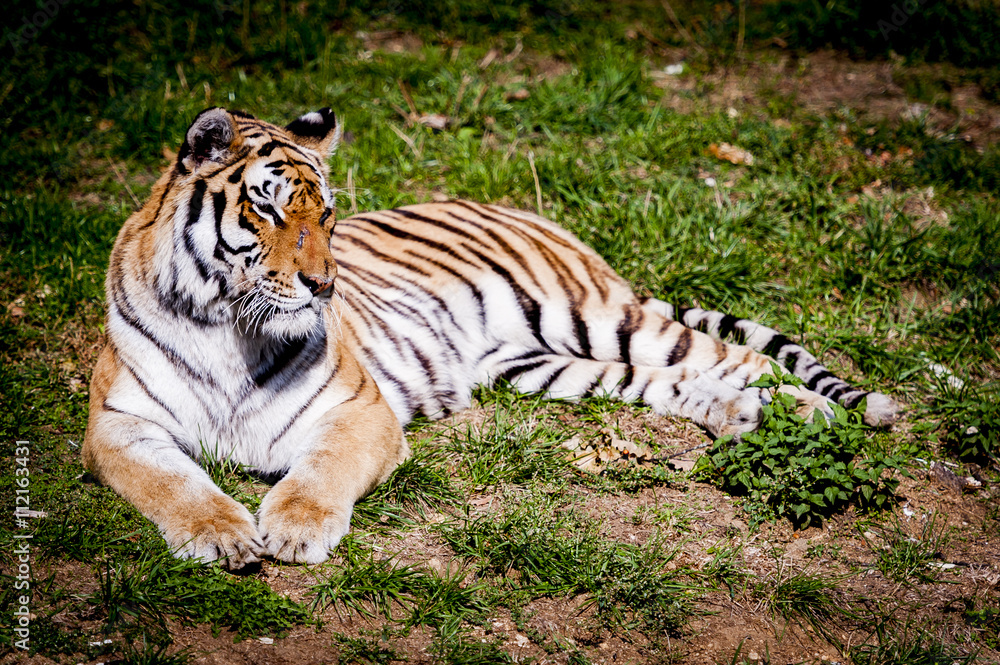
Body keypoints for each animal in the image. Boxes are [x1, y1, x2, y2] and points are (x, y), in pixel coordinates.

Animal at [86, 106, 900, 568]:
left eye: (327, 214)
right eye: (267, 209)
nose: (323, 286)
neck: (226, 322)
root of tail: (531, 214)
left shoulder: (358, 413)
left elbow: (317, 473)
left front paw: (293, 530)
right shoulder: (119, 428)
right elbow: (173, 482)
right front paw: (222, 535)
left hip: (599, 319)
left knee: (736, 354)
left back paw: (806, 410)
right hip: (548, 364)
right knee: (675, 382)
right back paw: (743, 415)